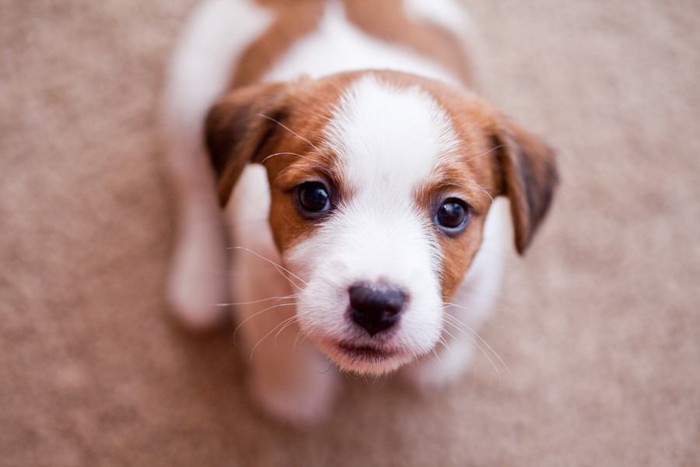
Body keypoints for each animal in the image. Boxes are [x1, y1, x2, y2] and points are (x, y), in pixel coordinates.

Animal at [163, 0, 556, 424]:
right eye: (313, 196)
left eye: (452, 211)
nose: (376, 305)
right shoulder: (258, 280)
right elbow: (283, 348)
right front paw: (292, 394)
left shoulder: (480, 277)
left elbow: (462, 320)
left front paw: (436, 365)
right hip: (186, 102)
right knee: (196, 188)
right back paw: (198, 283)